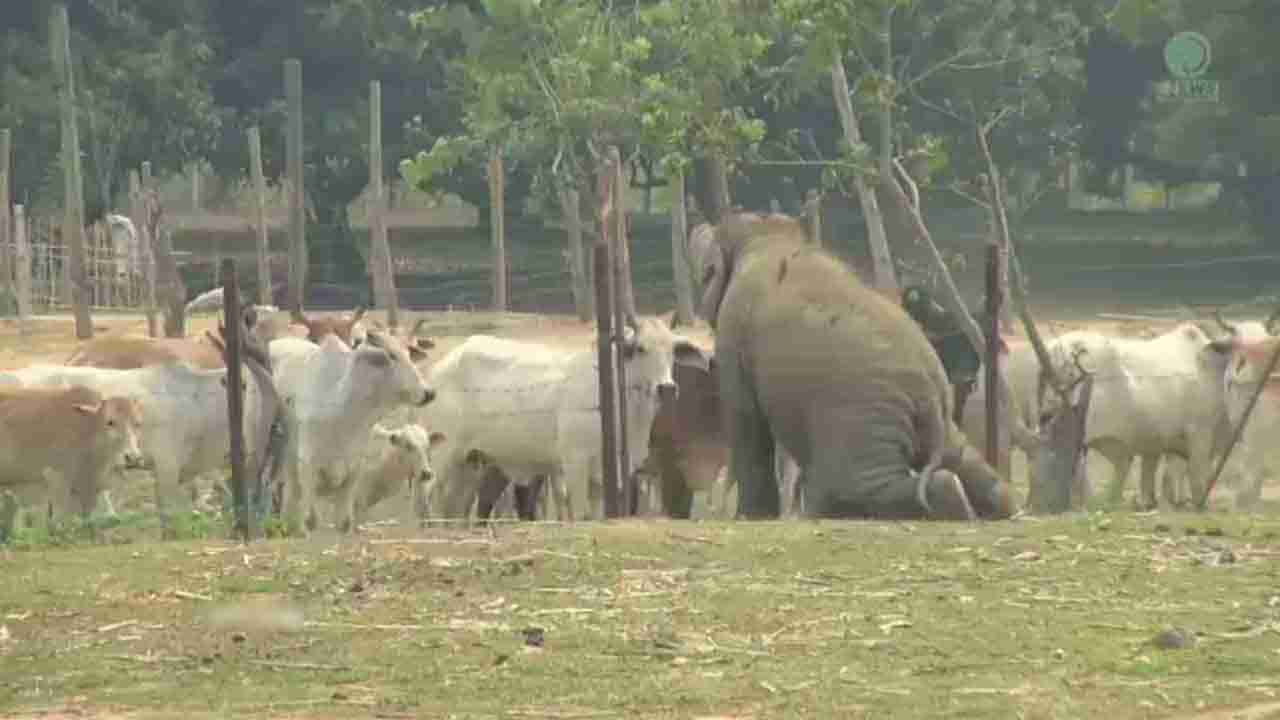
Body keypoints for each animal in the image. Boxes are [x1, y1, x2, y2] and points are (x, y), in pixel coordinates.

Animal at [424, 316, 716, 517]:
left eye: (672, 350)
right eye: (641, 348)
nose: (666, 388)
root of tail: (439, 368)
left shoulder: (604, 475)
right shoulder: (575, 463)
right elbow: (582, 513)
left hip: (471, 463)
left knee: (454, 509)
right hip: (441, 458)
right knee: (429, 501)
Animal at [696, 210, 1013, 517]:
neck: (769, 237)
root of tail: (933, 394)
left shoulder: (734, 329)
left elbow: (744, 415)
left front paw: (750, 517)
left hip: (861, 417)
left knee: (852, 488)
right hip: (932, 423)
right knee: (967, 462)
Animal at [1039, 322, 1239, 507]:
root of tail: (1058, 347)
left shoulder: (1155, 443)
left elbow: (1155, 476)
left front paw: (1154, 502)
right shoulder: (1199, 433)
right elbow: (1195, 477)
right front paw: (1197, 505)